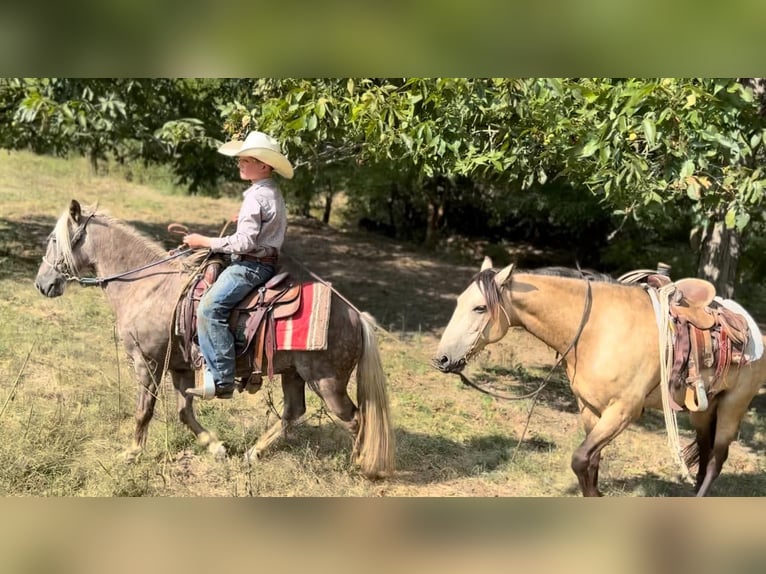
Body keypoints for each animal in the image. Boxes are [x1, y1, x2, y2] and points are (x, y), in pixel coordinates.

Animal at [436, 258, 764, 498]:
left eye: (480, 307)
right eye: (458, 301)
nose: (442, 359)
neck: (598, 329)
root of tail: (751, 325)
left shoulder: (623, 411)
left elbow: (580, 459)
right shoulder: (589, 407)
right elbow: (590, 463)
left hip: (733, 406)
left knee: (716, 460)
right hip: (703, 409)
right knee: (705, 452)